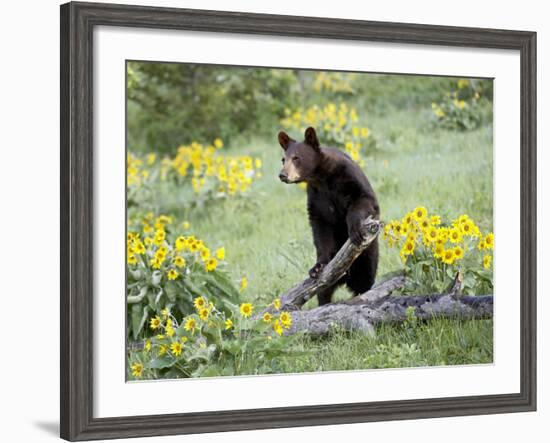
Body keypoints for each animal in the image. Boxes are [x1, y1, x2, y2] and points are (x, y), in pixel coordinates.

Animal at [278, 125, 382, 306]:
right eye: (284, 159)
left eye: (296, 158)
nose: (283, 175)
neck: (321, 178)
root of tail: (346, 278)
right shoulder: (316, 196)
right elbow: (321, 227)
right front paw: (317, 267)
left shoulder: (349, 176)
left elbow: (364, 199)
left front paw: (354, 230)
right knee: (324, 292)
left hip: (368, 256)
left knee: (365, 280)